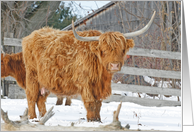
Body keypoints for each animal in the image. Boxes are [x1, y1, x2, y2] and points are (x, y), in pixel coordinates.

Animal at [22, 10, 156, 121]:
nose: (114, 65)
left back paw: (44, 117)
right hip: (32, 76)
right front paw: (92, 120)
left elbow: (98, 104)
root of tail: (30, 36)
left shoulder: (98, 86)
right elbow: (91, 102)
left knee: (40, 99)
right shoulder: (85, 83)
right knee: (31, 97)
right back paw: (32, 118)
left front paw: (98, 119)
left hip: (45, 81)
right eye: (104, 50)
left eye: (122, 49)